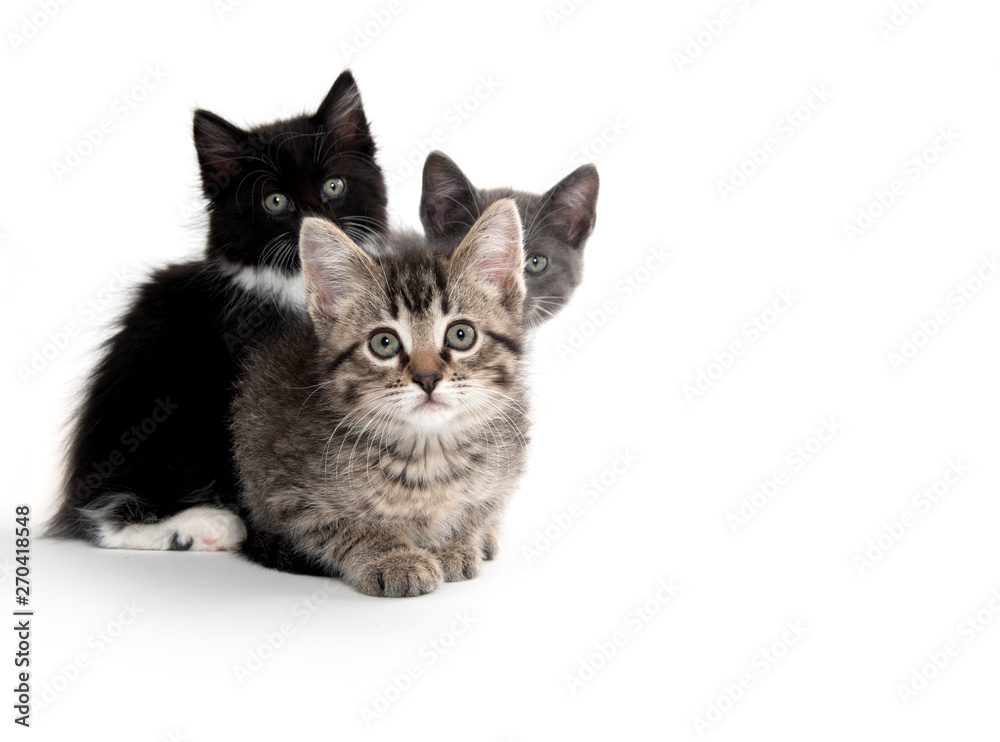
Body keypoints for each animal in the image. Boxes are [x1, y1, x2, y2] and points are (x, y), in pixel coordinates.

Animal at [232, 199, 532, 600]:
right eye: (384, 342)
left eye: (461, 334)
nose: (427, 378)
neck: (427, 456)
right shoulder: (286, 494)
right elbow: (345, 528)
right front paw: (393, 557)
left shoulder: (505, 464)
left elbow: (478, 508)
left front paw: (455, 542)